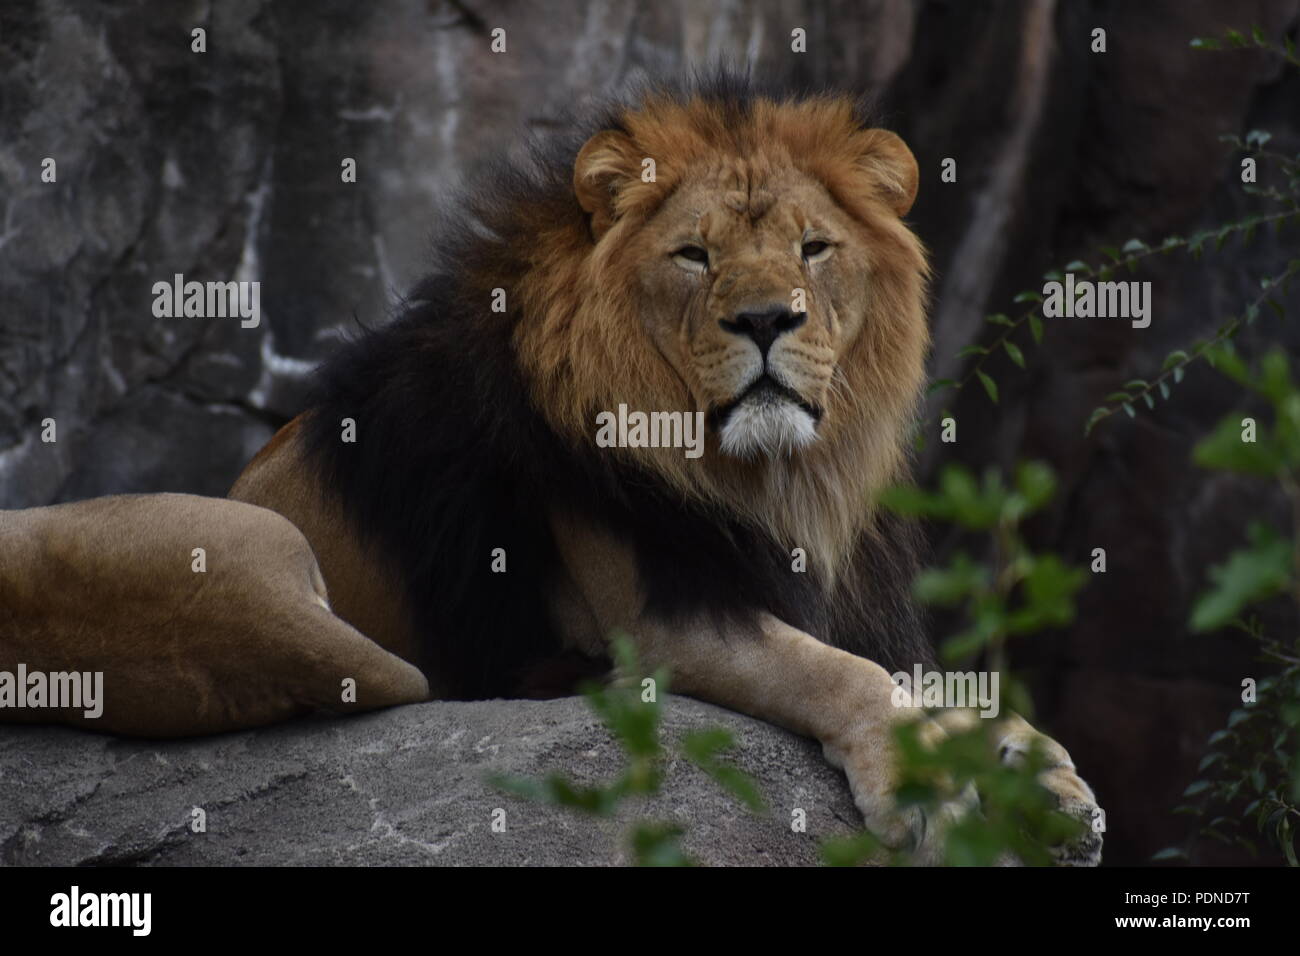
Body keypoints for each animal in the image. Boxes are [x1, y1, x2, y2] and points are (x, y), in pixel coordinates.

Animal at [1, 75, 1100, 864]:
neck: (769, 474)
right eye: (695, 256)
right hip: (252, 549)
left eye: (814, 247)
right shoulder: (661, 619)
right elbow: (849, 674)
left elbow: (938, 688)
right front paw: (927, 788)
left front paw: (1047, 777)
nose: (764, 321)